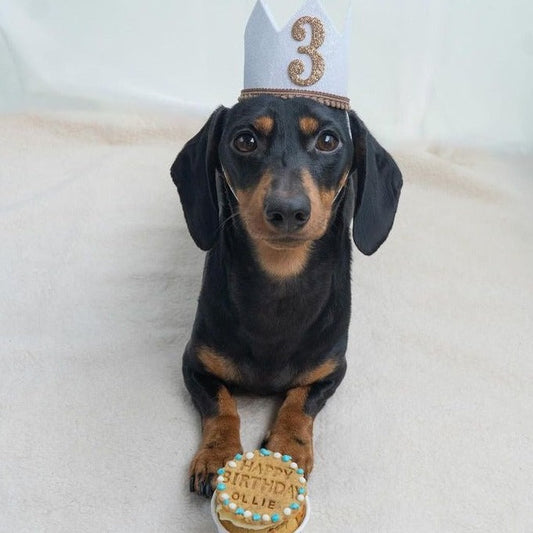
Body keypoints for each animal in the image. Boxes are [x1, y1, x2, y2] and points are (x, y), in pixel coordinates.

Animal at [170, 93, 400, 496]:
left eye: (328, 140)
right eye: (245, 140)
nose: (288, 210)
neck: (281, 274)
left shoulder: (332, 370)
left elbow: (299, 402)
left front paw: (287, 448)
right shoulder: (194, 364)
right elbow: (222, 406)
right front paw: (217, 453)